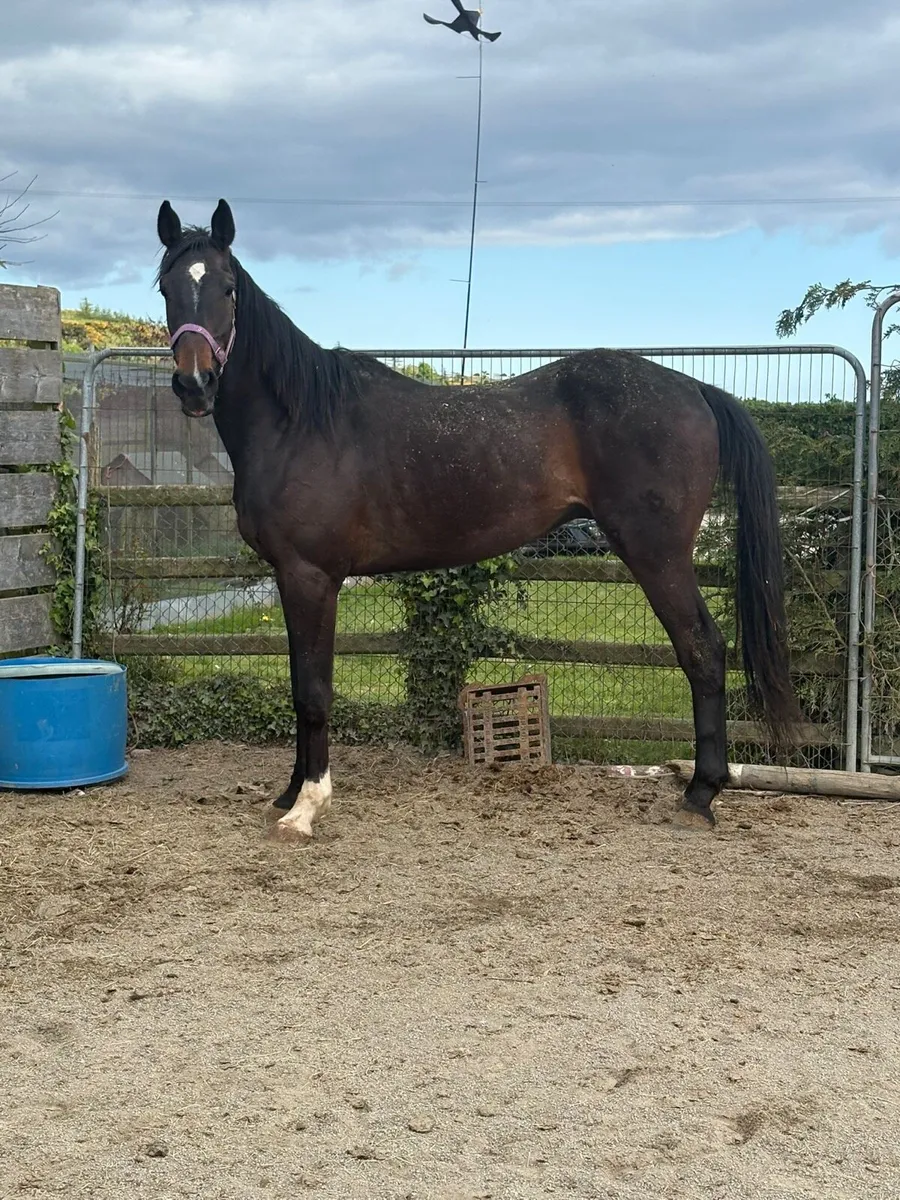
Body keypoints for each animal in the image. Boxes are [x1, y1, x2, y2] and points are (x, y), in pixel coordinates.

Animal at [155, 198, 799, 844]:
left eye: (228, 288)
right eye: (165, 286)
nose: (194, 384)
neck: (301, 423)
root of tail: (694, 388)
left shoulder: (310, 576)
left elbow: (314, 693)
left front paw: (307, 806)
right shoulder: (291, 580)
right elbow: (296, 687)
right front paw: (289, 792)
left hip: (657, 554)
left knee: (703, 650)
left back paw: (700, 794)